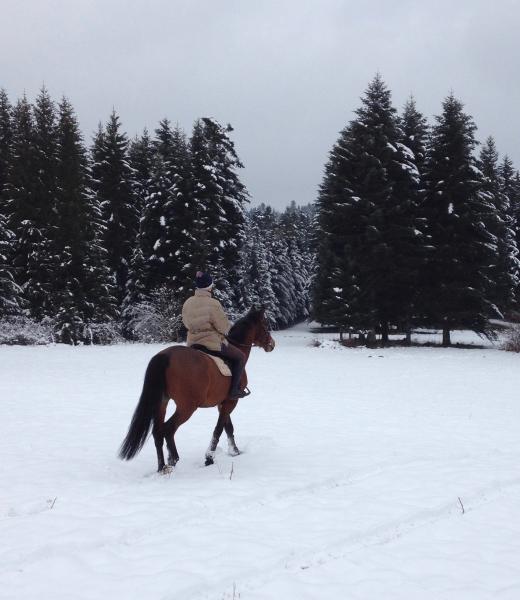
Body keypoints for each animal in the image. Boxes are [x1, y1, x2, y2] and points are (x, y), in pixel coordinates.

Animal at [119, 308, 276, 472]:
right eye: (265, 325)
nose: (272, 344)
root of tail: (165, 355)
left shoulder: (222, 403)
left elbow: (228, 427)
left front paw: (234, 452)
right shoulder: (231, 401)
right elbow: (219, 429)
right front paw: (209, 457)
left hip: (162, 403)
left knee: (157, 432)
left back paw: (162, 467)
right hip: (187, 407)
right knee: (168, 429)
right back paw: (173, 459)